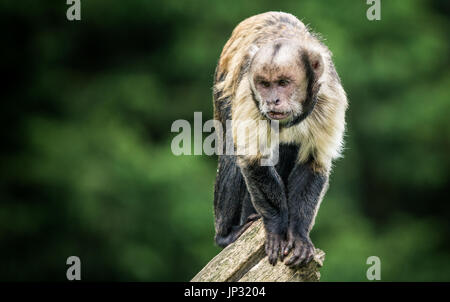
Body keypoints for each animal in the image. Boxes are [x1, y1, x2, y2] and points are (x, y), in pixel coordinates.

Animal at [212, 11, 348, 266]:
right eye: (265, 84)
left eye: (283, 83)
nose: (272, 100)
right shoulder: (247, 91)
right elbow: (254, 160)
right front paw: (276, 227)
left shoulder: (330, 96)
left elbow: (313, 162)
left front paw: (298, 234)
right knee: (232, 153)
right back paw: (227, 234)